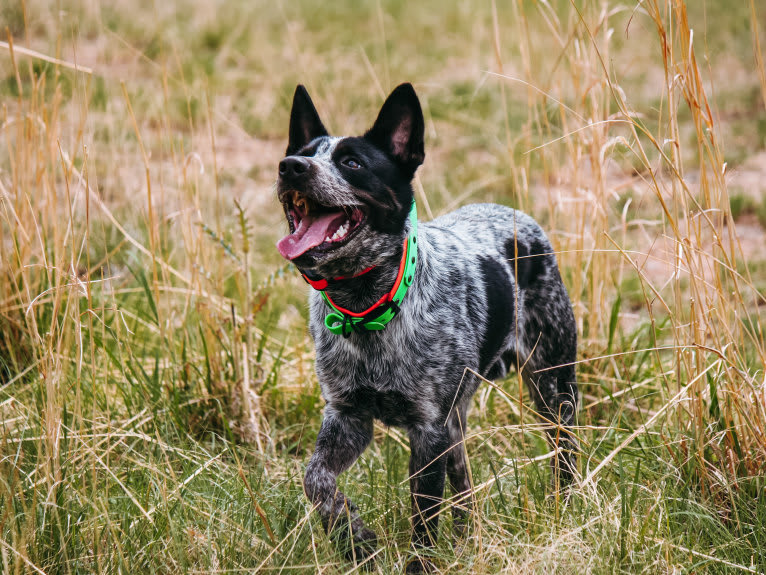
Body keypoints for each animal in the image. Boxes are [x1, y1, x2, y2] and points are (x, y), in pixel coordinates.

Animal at [272, 83, 580, 572]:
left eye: (352, 163)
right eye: (301, 155)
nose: (291, 168)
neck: (367, 309)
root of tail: (516, 215)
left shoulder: (427, 429)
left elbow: (423, 516)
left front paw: (419, 563)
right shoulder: (347, 417)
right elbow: (316, 480)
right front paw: (355, 541)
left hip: (553, 388)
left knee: (563, 456)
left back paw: (563, 508)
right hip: (456, 425)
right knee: (465, 489)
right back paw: (469, 538)